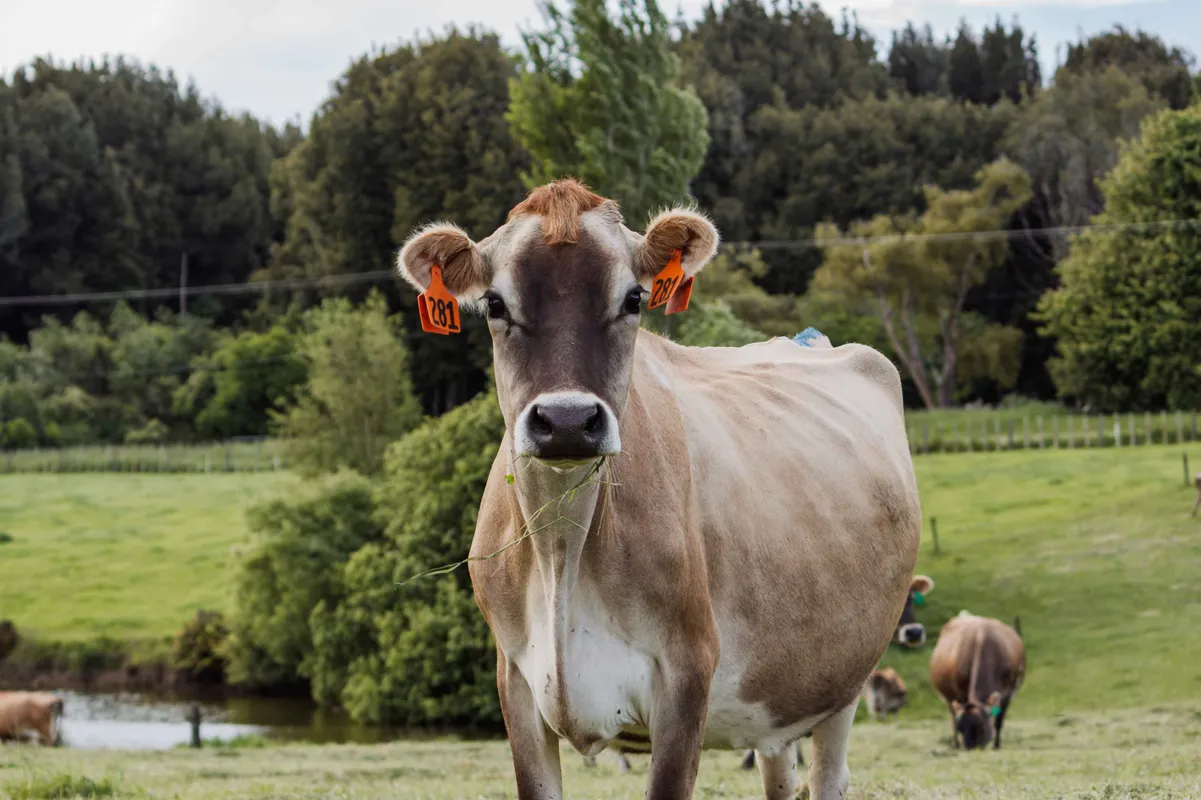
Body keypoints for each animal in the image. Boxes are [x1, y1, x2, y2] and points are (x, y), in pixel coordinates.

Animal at [397, 178, 922, 800]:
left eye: (633, 299)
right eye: (497, 304)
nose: (568, 420)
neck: (562, 553)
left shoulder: (686, 675)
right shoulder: (516, 681)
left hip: (844, 677)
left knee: (829, 776)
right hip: (777, 700)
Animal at [929, 611, 1025, 750]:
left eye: (981, 728)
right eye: (961, 729)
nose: (970, 749)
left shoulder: (1008, 692)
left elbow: (999, 721)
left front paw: (996, 745)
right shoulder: (961, 693)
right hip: (948, 697)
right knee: (952, 715)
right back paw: (955, 743)